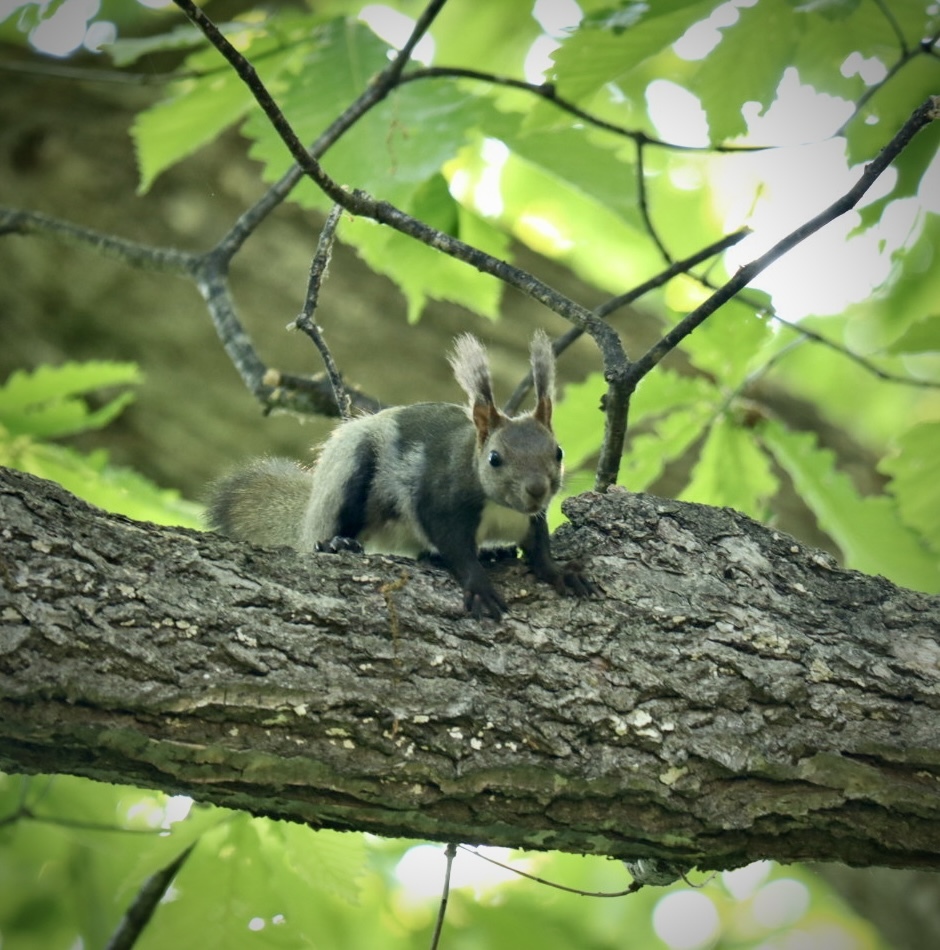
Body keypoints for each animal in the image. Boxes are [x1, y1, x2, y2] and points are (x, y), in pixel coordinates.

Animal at [208, 330, 592, 620]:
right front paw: (479, 586)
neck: (501, 509)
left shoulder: (531, 518)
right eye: (495, 458)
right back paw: (336, 543)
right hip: (350, 470)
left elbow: (539, 549)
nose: (537, 489)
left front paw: (559, 573)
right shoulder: (439, 503)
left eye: (558, 452)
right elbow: (455, 546)